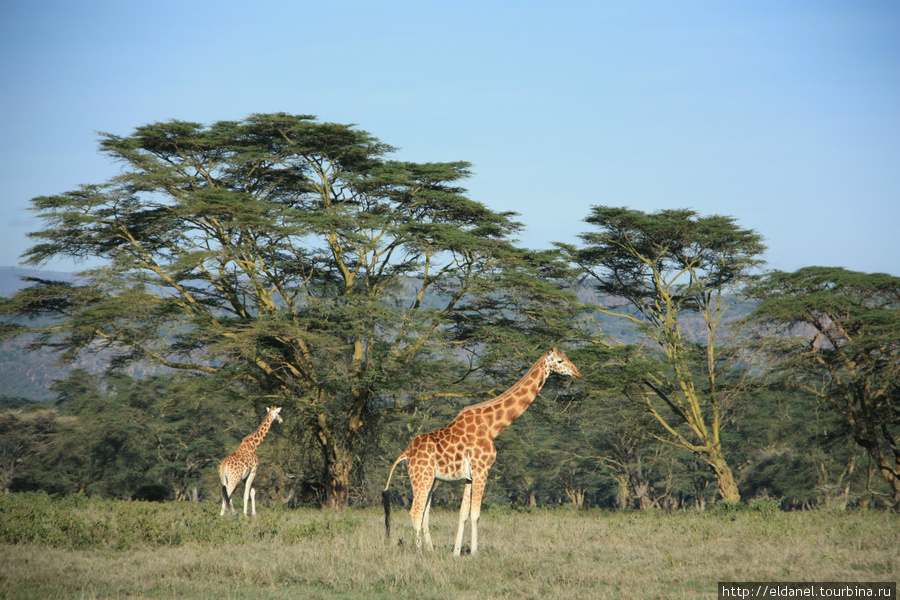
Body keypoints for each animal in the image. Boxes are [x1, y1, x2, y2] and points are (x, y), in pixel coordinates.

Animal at [382, 350, 584, 556]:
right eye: (560, 360)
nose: (578, 373)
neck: (492, 427)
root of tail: (406, 452)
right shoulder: (482, 470)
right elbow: (475, 514)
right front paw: (474, 553)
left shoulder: (469, 477)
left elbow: (463, 514)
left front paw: (456, 553)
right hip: (421, 477)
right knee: (415, 512)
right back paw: (420, 552)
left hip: (430, 479)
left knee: (424, 514)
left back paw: (431, 551)